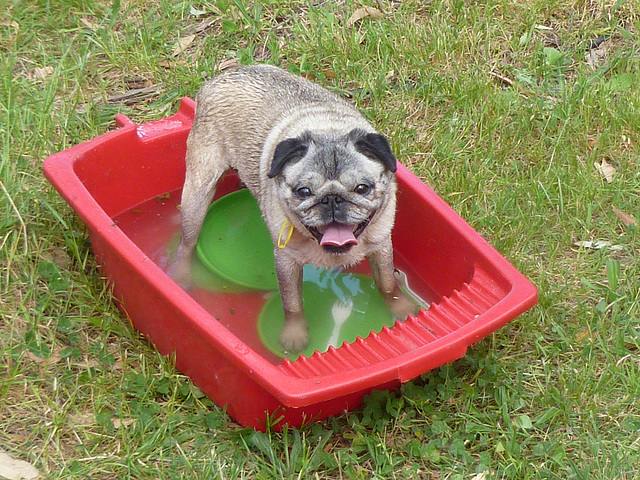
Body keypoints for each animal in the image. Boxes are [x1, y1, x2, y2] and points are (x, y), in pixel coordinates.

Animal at [172, 63, 418, 350]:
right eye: (303, 192)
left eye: (362, 188)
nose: (331, 199)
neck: (327, 131)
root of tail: (219, 78)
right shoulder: (286, 261)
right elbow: (292, 303)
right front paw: (295, 334)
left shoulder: (381, 246)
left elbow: (387, 283)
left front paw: (401, 308)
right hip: (198, 194)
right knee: (187, 242)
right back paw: (181, 276)